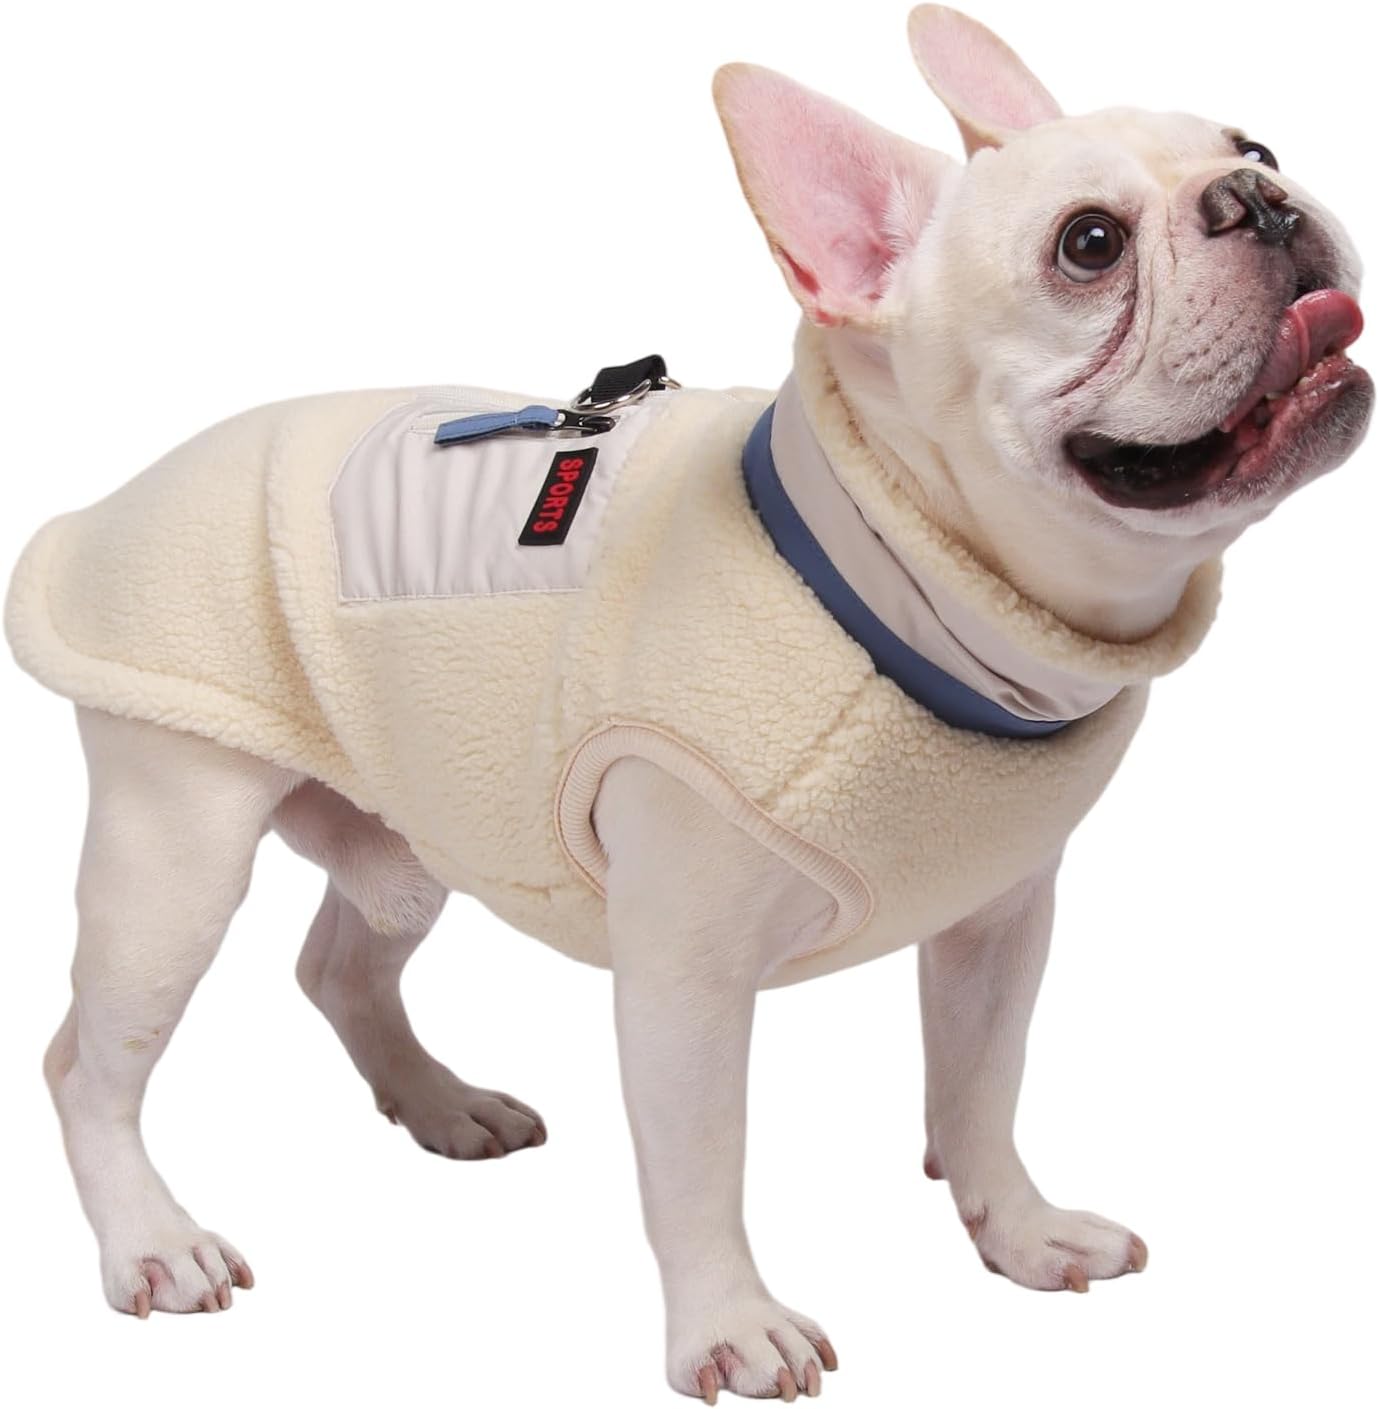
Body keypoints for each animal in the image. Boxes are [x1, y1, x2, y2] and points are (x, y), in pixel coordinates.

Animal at [5, 5, 1371, 1403]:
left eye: (1257, 142)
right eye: (1086, 245)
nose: (1258, 197)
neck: (895, 589)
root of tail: (113, 499)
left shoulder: (997, 927)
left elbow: (980, 1086)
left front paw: (1018, 1227)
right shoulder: (685, 976)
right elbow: (701, 1162)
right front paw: (730, 1321)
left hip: (425, 823)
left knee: (339, 964)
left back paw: (440, 1101)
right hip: (176, 854)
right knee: (87, 1060)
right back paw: (151, 1238)